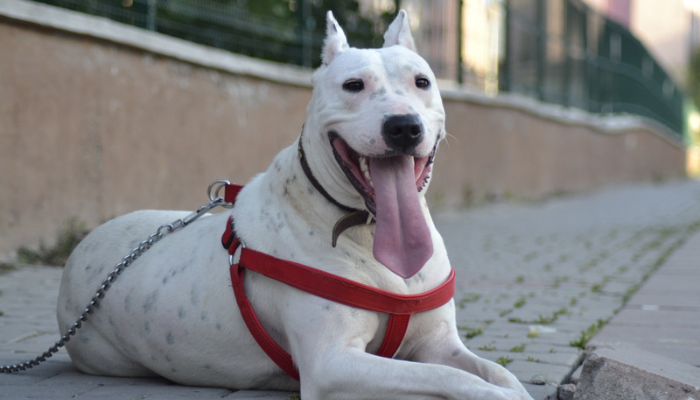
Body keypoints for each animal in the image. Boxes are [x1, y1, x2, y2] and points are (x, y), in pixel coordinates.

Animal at [58, 9, 532, 400]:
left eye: (422, 82)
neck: (366, 229)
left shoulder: (438, 343)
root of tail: (81, 249)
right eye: (353, 85)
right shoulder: (332, 365)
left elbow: (497, 372)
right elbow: (450, 378)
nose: (403, 126)